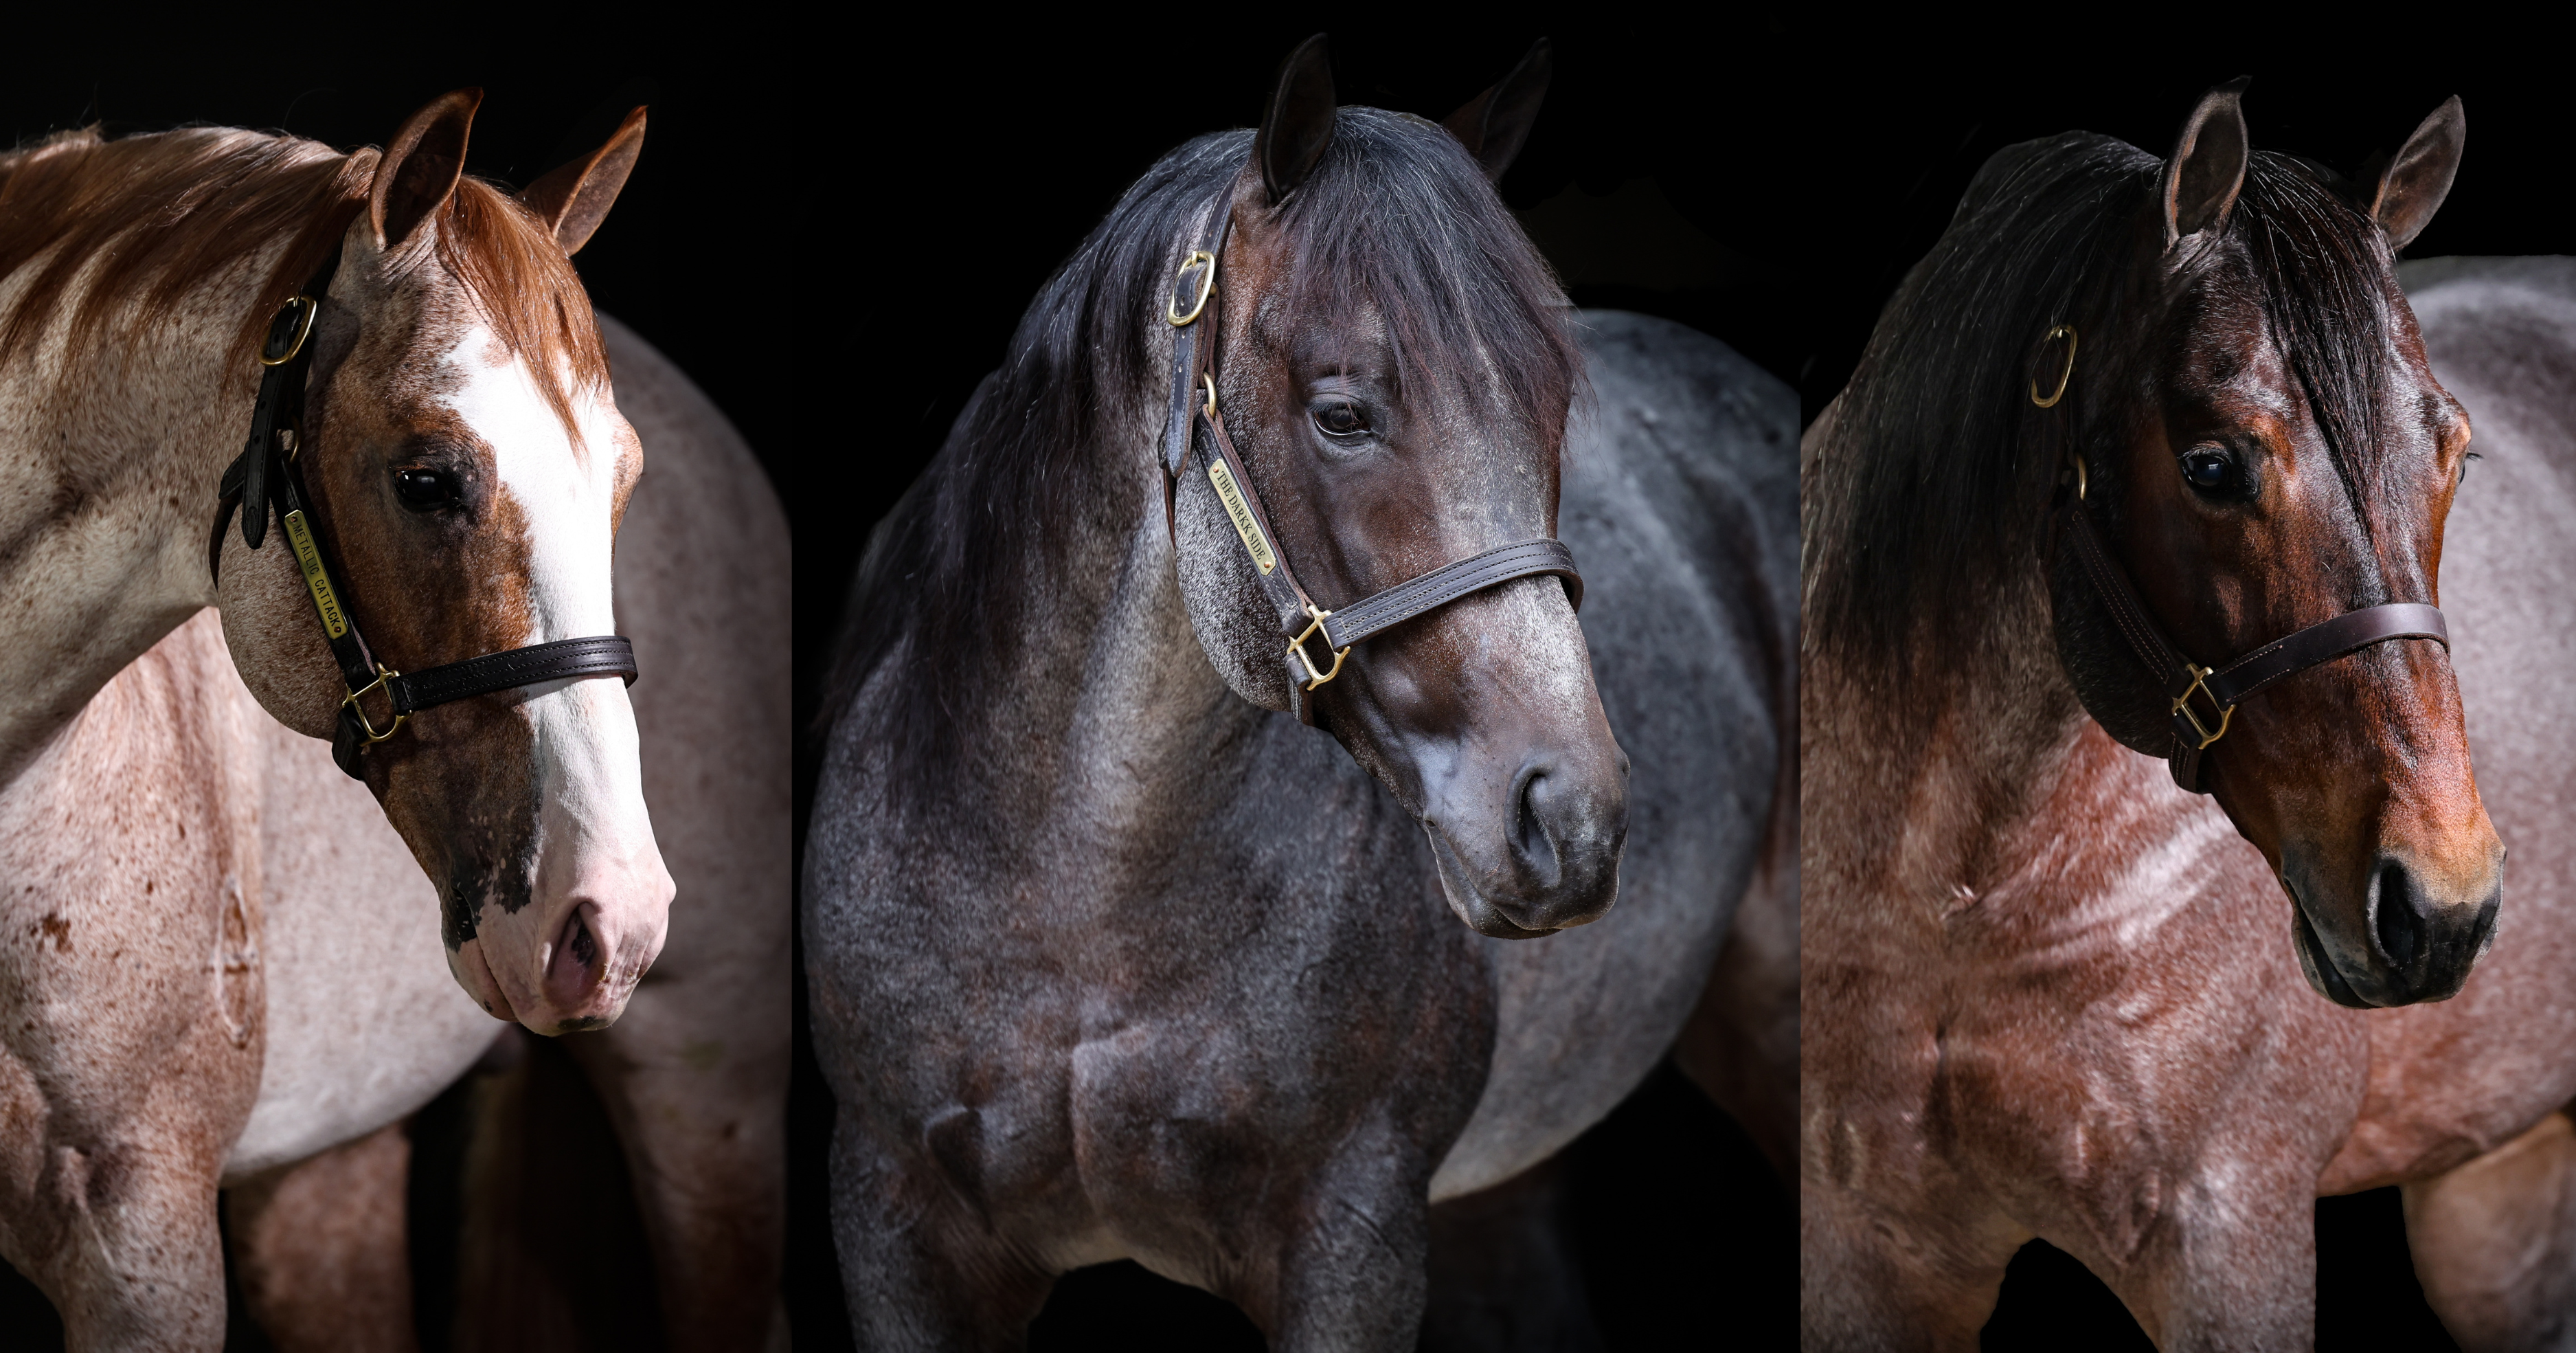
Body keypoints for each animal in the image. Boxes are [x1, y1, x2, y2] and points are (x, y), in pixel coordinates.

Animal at [805, 35, 1796, 1348]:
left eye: (1554, 410)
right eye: (1342, 415)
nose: (1569, 818)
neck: (1079, 902)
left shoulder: (1352, 1238)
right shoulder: (894, 1226)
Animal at [1797, 81, 2552, 1349]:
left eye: (2454, 454)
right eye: (2209, 466)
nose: (2438, 905)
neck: (1962, 897)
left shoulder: (2231, 1238)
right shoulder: (1862, 1246)